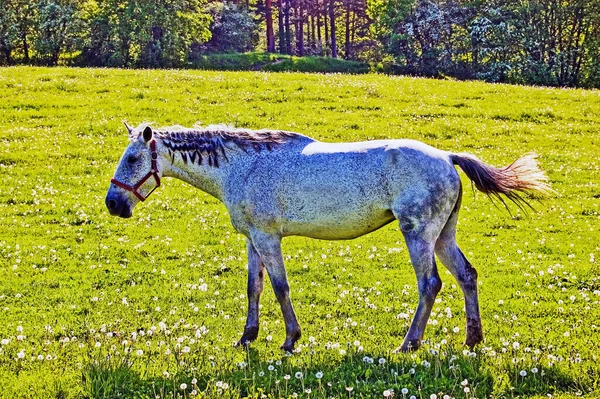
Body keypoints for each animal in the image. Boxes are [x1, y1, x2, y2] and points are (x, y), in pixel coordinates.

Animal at [105, 122, 552, 354]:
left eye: (133, 157)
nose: (113, 204)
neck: (243, 166)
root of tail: (446, 157)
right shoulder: (252, 239)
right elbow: (253, 288)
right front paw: (247, 337)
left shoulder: (268, 238)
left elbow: (280, 287)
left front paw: (290, 340)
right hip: (443, 236)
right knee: (466, 276)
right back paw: (473, 339)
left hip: (419, 235)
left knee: (431, 284)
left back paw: (409, 344)